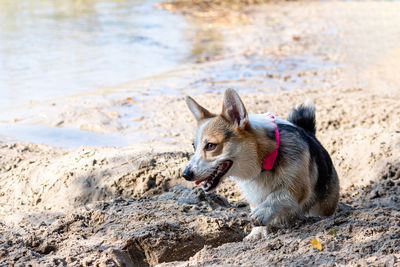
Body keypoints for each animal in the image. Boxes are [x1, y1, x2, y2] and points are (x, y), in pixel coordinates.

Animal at [183, 89, 340, 242]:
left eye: (210, 146)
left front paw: (262, 212)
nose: (185, 174)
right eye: (193, 146)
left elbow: (277, 195)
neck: (264, 160)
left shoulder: (298, 188)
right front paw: (257, 233)